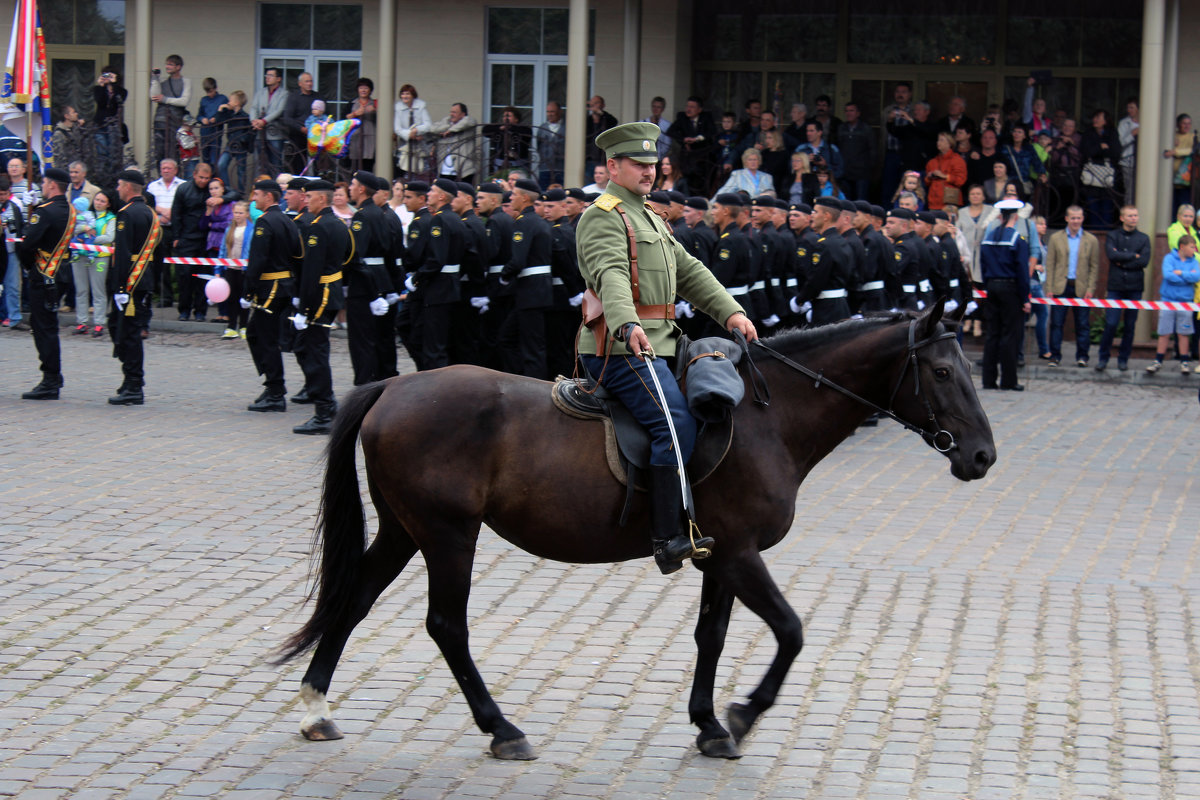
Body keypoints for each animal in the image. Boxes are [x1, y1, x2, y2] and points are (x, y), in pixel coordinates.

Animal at [278, 302, 993, 762]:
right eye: (942, 372)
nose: (983, 456)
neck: (766, 419)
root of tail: (393, 386)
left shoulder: (719, 556)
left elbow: (712, 636)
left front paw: (709, 724)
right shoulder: (740, 553)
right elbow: (790, 631)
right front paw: (743, 713)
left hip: (406, 529)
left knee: (354, 598)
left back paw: (317, 707)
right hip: (448, 535)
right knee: (446, 626)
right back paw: (501, 728)